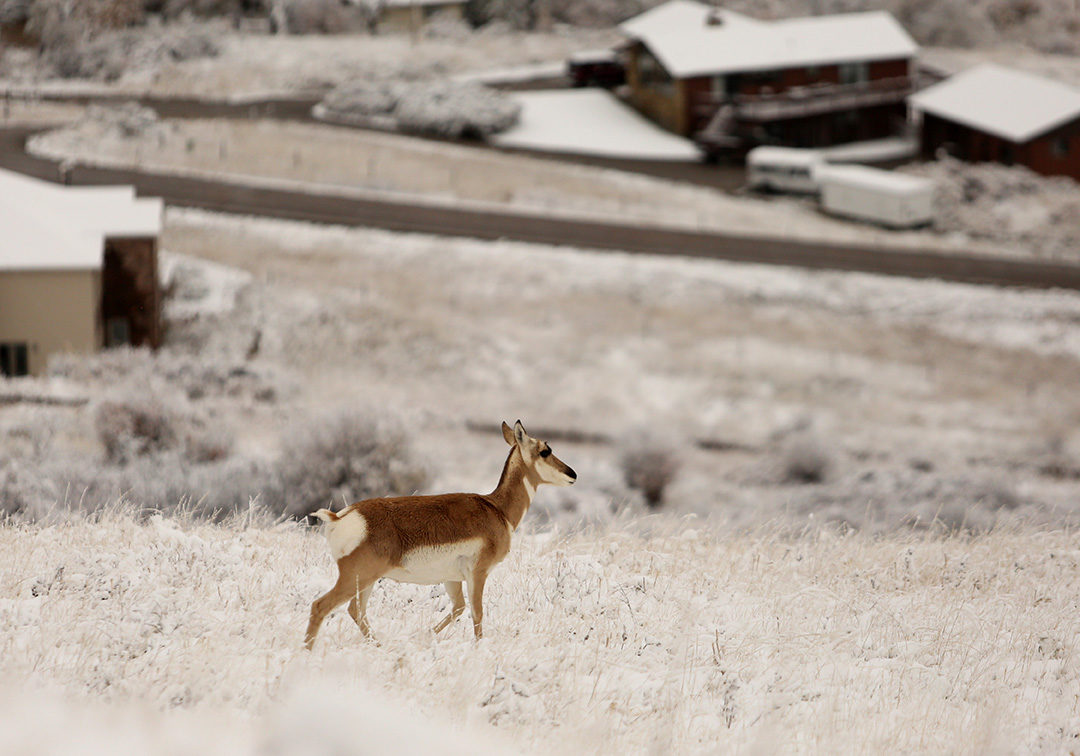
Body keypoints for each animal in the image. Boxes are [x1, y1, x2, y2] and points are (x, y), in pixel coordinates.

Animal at [304, 420, 577, 649]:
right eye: (545, 450)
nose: (572, 474)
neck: (497, 508)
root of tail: (341, 517)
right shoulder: (478, 574)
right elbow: (477, 612)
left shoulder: (452, 579)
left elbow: (458, 609)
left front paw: (424, 637)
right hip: (356, 578)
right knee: (320, 606)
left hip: (366, 581)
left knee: (355, 611)